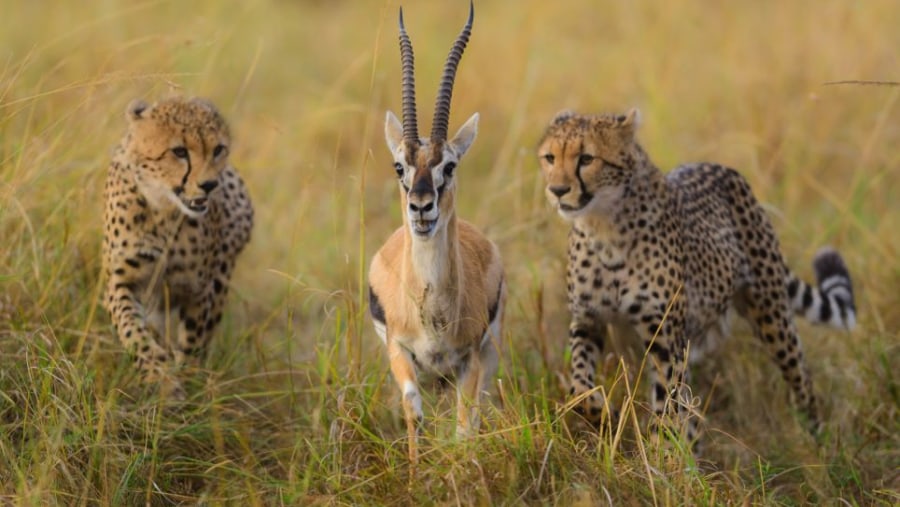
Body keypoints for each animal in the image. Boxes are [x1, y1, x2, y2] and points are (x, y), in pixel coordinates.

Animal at [103, 96, 255, 396]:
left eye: (218, 149)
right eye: (179, 151)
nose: (209, 185)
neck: (164, 209)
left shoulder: (198, 289)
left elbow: (194, 340)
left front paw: (187, 379)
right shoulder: (121, 281)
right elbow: (132, 330)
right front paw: (160, 378)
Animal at [536, 109, 856, 442]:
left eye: (586, 158)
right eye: (549, 157)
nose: (557, 191)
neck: (603, 226)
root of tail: (720, 168)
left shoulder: (666, 340)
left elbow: (666, 407)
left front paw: (660, 449)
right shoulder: (588, 320)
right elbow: (578, 388)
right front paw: (603, 415)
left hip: (771, 316)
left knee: (800, 376)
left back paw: (817, 438)